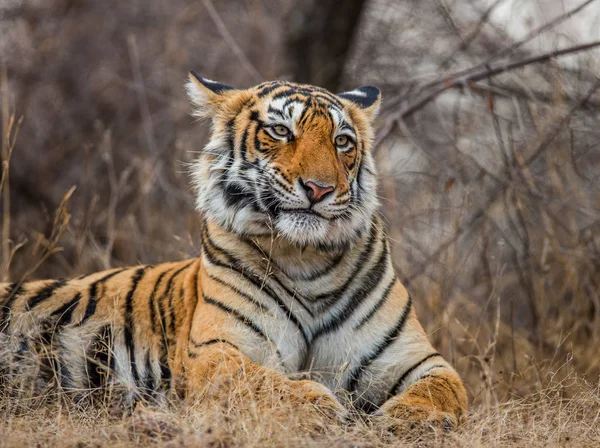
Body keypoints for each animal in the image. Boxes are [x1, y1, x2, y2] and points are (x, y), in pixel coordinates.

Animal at [0, 72, 466, 432]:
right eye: (281, 131)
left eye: (342, 141)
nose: (319, 189)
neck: (307, 259)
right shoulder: (215, 350)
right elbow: (259, 381)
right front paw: (317, 405)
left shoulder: (415, 358)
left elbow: (445, 389)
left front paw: (409, 418)